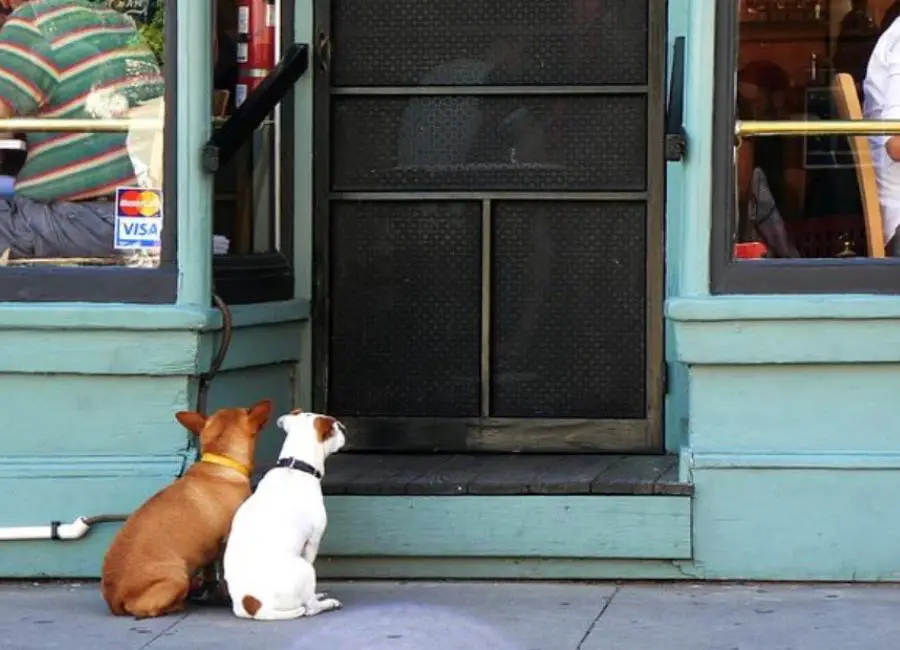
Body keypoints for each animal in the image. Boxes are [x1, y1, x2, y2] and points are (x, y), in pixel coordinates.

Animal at [100, 398, 272, 616]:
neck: (220, 462)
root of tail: (113, 601)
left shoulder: (211, 550)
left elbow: (211, 574)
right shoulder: (226, 540)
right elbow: (224, 574)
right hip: (177, 576)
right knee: (148, 609)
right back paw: (178, 604)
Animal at [223, 410, 346, 616]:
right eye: (335, 428)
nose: (344, 429)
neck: (295, 466)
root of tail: (254, 604)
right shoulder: (313, 541)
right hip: (305, 569)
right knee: (310, 607)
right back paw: (325, 603)